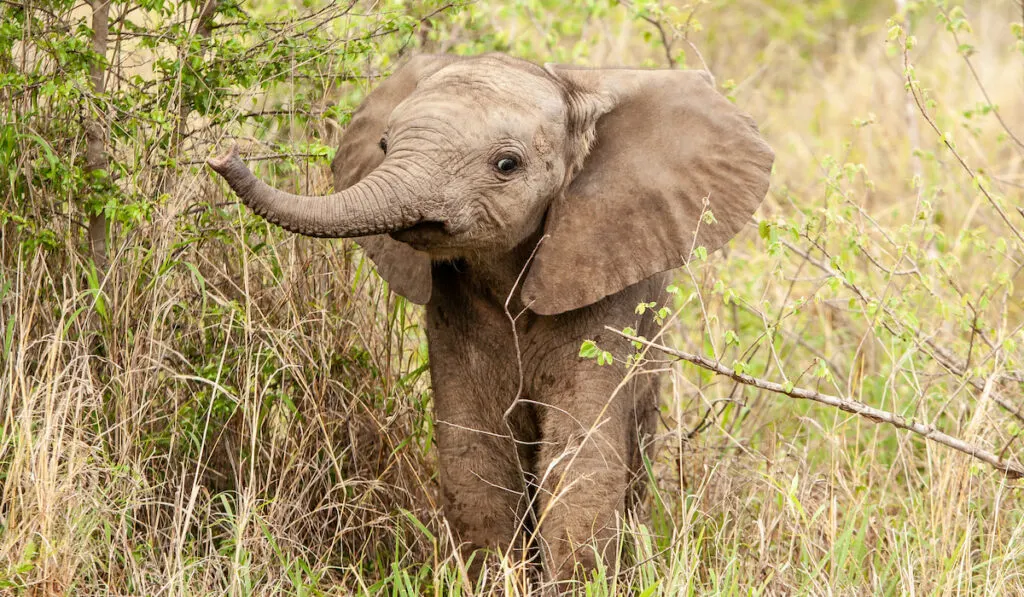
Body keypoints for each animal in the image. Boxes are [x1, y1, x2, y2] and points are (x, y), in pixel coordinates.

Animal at [205, 52, 770, 589]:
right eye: (384, 145)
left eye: (506, 164)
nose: (223, 153)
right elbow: (475, 452)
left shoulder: (606, 274)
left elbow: (578, 458)